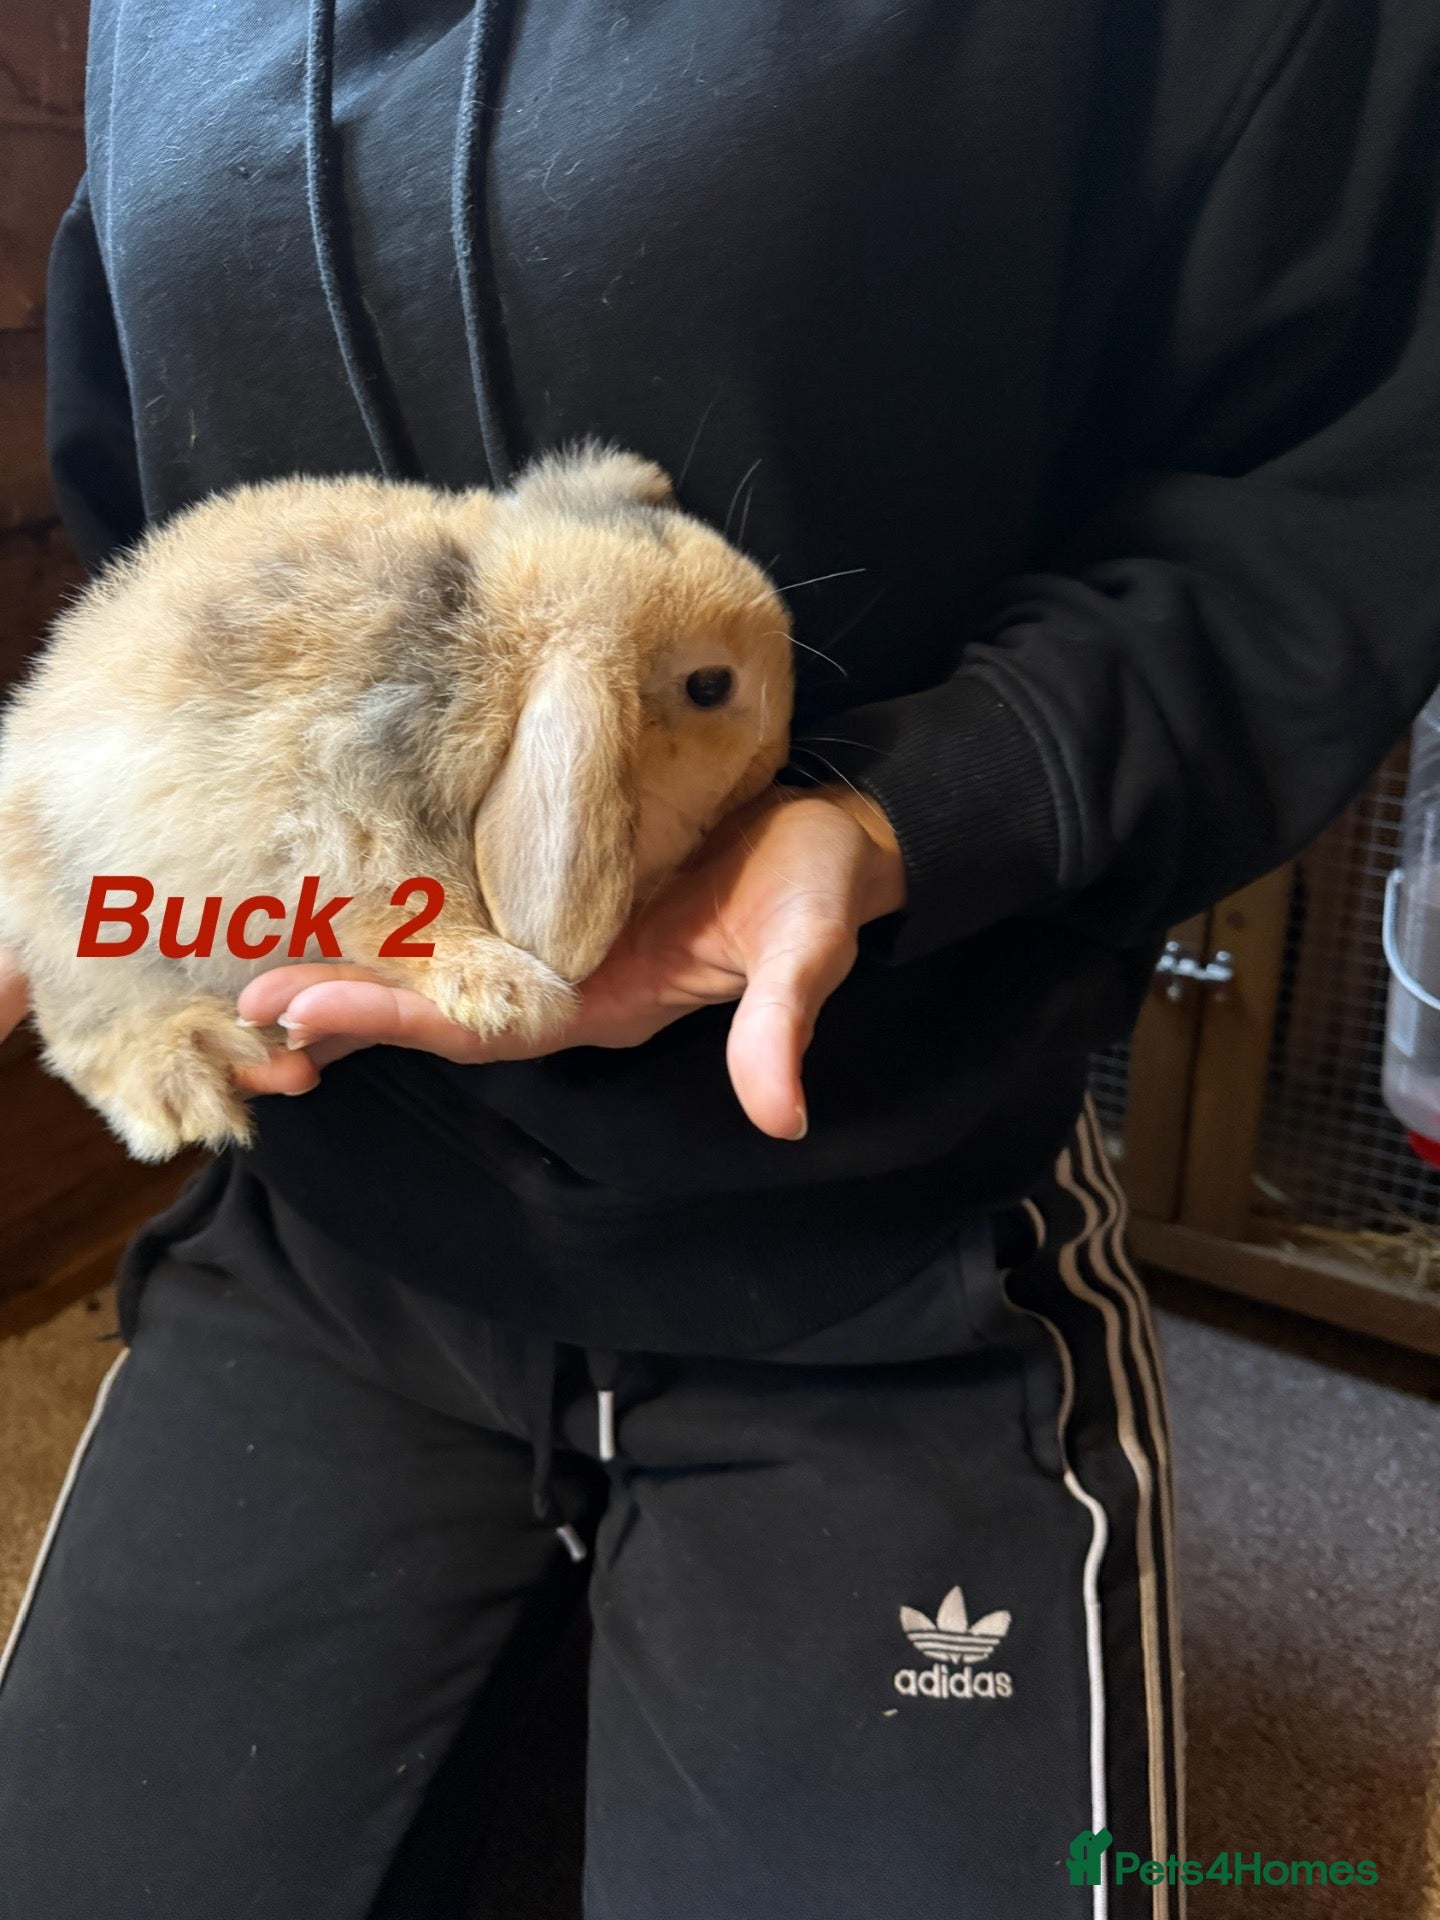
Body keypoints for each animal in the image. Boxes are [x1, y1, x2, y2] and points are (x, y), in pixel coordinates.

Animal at [0, 444, 794, 1161]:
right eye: (711, 686)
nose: (773, 759)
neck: (486, 630)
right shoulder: (349, 803)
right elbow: (405, 904)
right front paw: (507, 993)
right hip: (91, 933)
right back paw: (185, 1086)